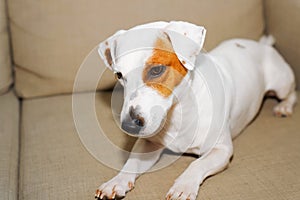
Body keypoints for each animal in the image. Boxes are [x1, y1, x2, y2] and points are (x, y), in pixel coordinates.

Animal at [95, 21, 296, 199]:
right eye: (119, 75)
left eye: (156, 70)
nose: (129, 126)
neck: (178, 113)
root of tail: (261, 45)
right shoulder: (149, 144)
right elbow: (132, 162)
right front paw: (117, 181)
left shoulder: (221, 150)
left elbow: (197, 164)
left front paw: (183, 186)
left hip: (282, 84)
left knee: (292, 92)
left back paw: (284, 106)